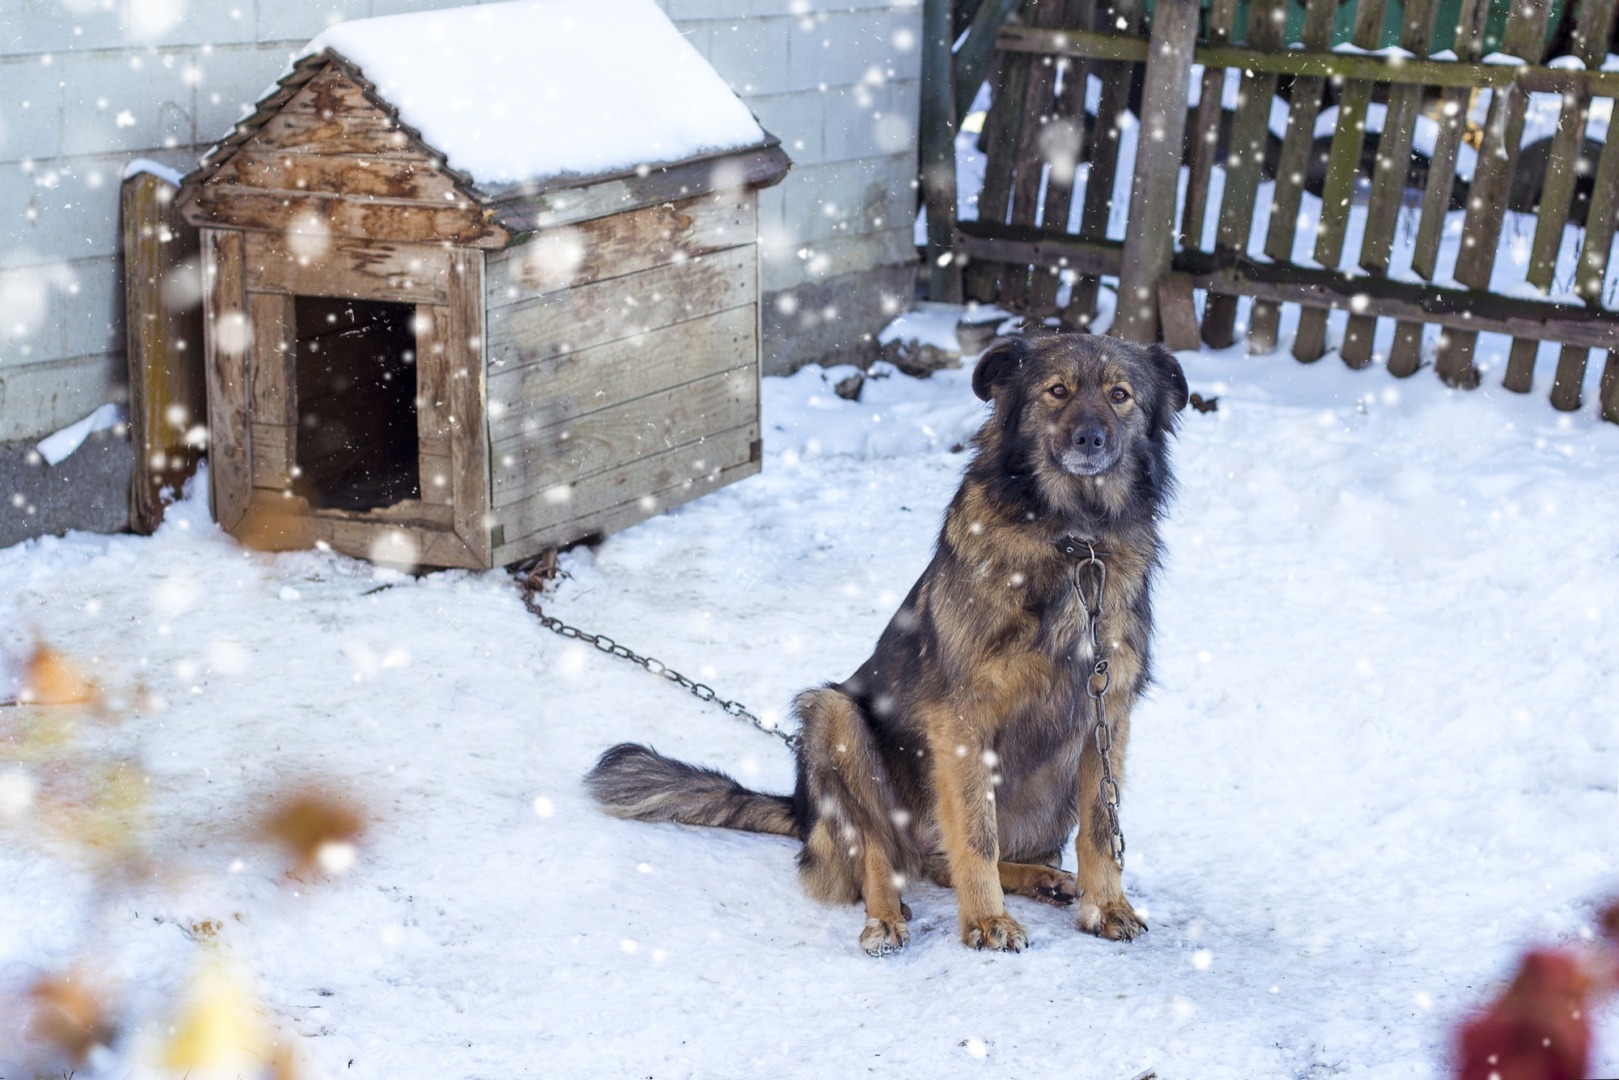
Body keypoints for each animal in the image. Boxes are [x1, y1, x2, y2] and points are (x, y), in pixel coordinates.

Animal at [586, 331, 1191, 952]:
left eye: (1120, 395)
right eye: (1057, 391)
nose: (1091, 438)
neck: (1072, 539)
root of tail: (802, 811)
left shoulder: (1107, 713)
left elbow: (1100, 828)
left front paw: (1107, 906)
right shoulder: (962, 718)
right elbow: (976, 833)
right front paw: (987, 921)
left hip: (1049, 790)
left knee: (941, 860)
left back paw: (1041, 878)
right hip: (833, 717)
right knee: (879, 850)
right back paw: (885, 917)